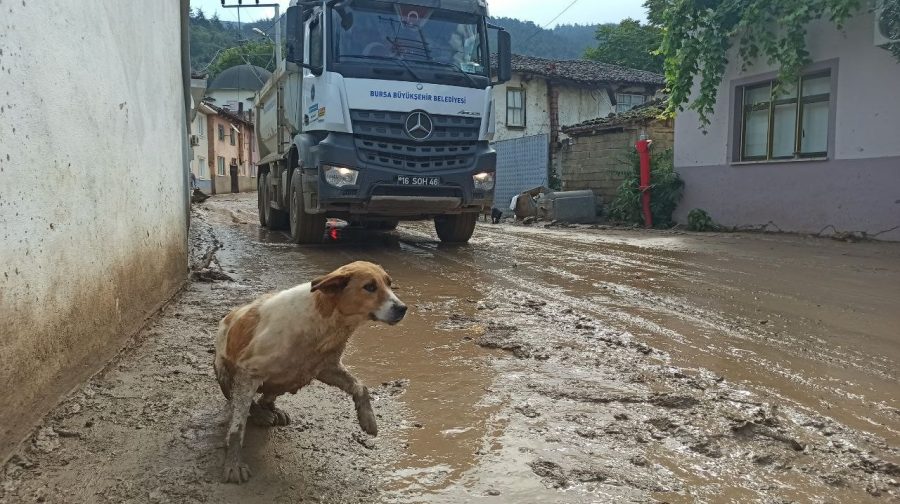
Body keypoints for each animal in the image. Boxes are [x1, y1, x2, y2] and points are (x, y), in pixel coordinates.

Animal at [213, 262, 406, 482]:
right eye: (370, 287)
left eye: (389, 283)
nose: (403, 308)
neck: (325, 321)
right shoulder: (248, 373)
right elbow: (237, 427)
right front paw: (233, 463)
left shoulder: (326, 368)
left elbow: (361, 386)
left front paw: (368, 419)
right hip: (225, 373)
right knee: (240, 401)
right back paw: (260, 414)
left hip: (294, 377)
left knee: (268, 397)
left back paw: (272, 410)